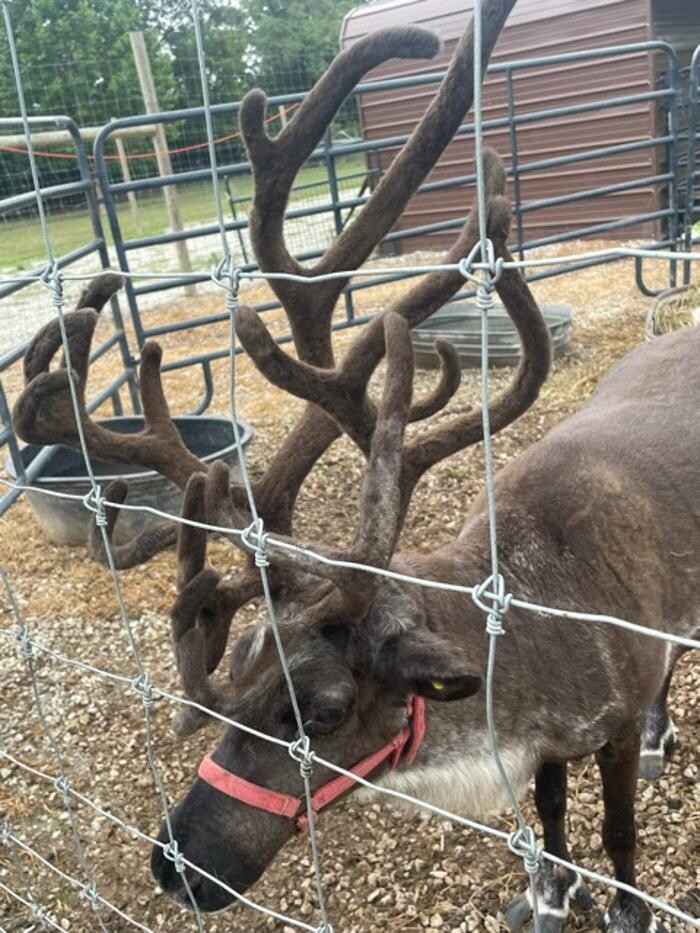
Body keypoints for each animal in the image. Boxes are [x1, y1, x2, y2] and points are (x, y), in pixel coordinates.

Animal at [11, 1, 698, 930]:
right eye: (236, 663)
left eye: (328, 710)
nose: (176, 866)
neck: (531, 620)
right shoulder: (551, 744)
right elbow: (554, 813)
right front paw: (551, 891)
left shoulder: (610, 720)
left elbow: (620, 830)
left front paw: (622, 905)